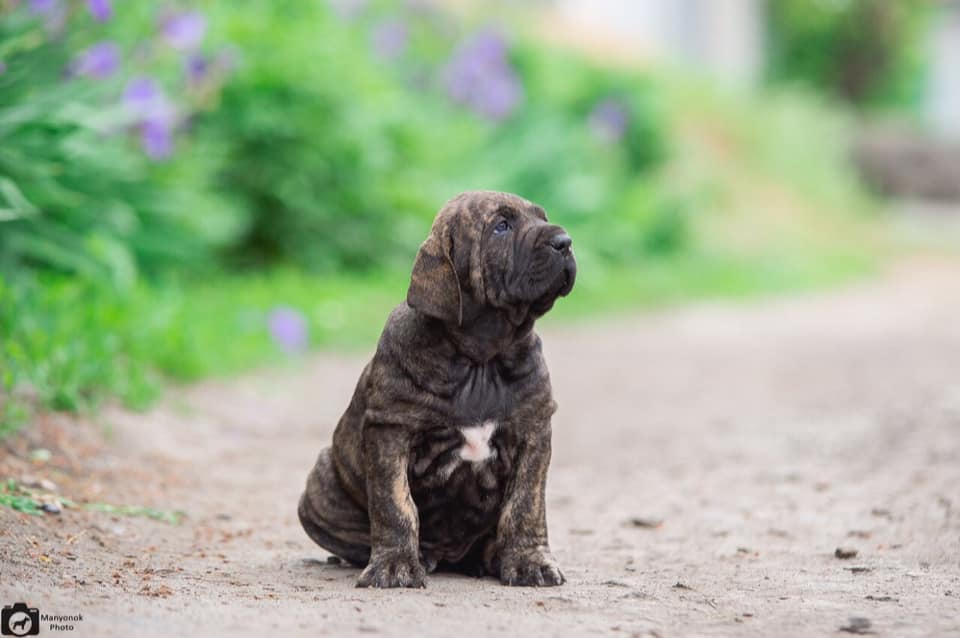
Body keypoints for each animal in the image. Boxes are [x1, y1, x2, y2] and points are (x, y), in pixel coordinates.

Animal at [296, 191, 572, 592]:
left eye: (543, 218)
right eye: (501, 226)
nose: (565, 242)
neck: (481, 358)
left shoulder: (533, 431)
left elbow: (525, 506)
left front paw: (528, 561)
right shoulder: (390, 433)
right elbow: (394, 505)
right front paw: (394, 564)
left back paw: (489, 557)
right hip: (320, 483)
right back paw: (413, 556)